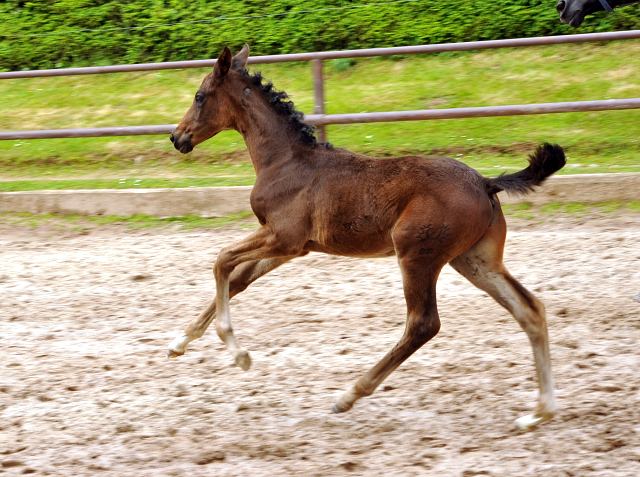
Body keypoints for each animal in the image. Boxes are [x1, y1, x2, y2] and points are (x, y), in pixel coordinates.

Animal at [169, 44, 564, 430]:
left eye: (200, 96)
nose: (177, 137)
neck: (285, 161)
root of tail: (485, 182)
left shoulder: (283, 236)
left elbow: (222, 260)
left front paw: (239, 354)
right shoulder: (293, 248)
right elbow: (237, 279)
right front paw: (178, 342)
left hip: (416, 255)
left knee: (423, 324)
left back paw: (349, 395)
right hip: (474, 260)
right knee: (529, 310)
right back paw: (539, 412)